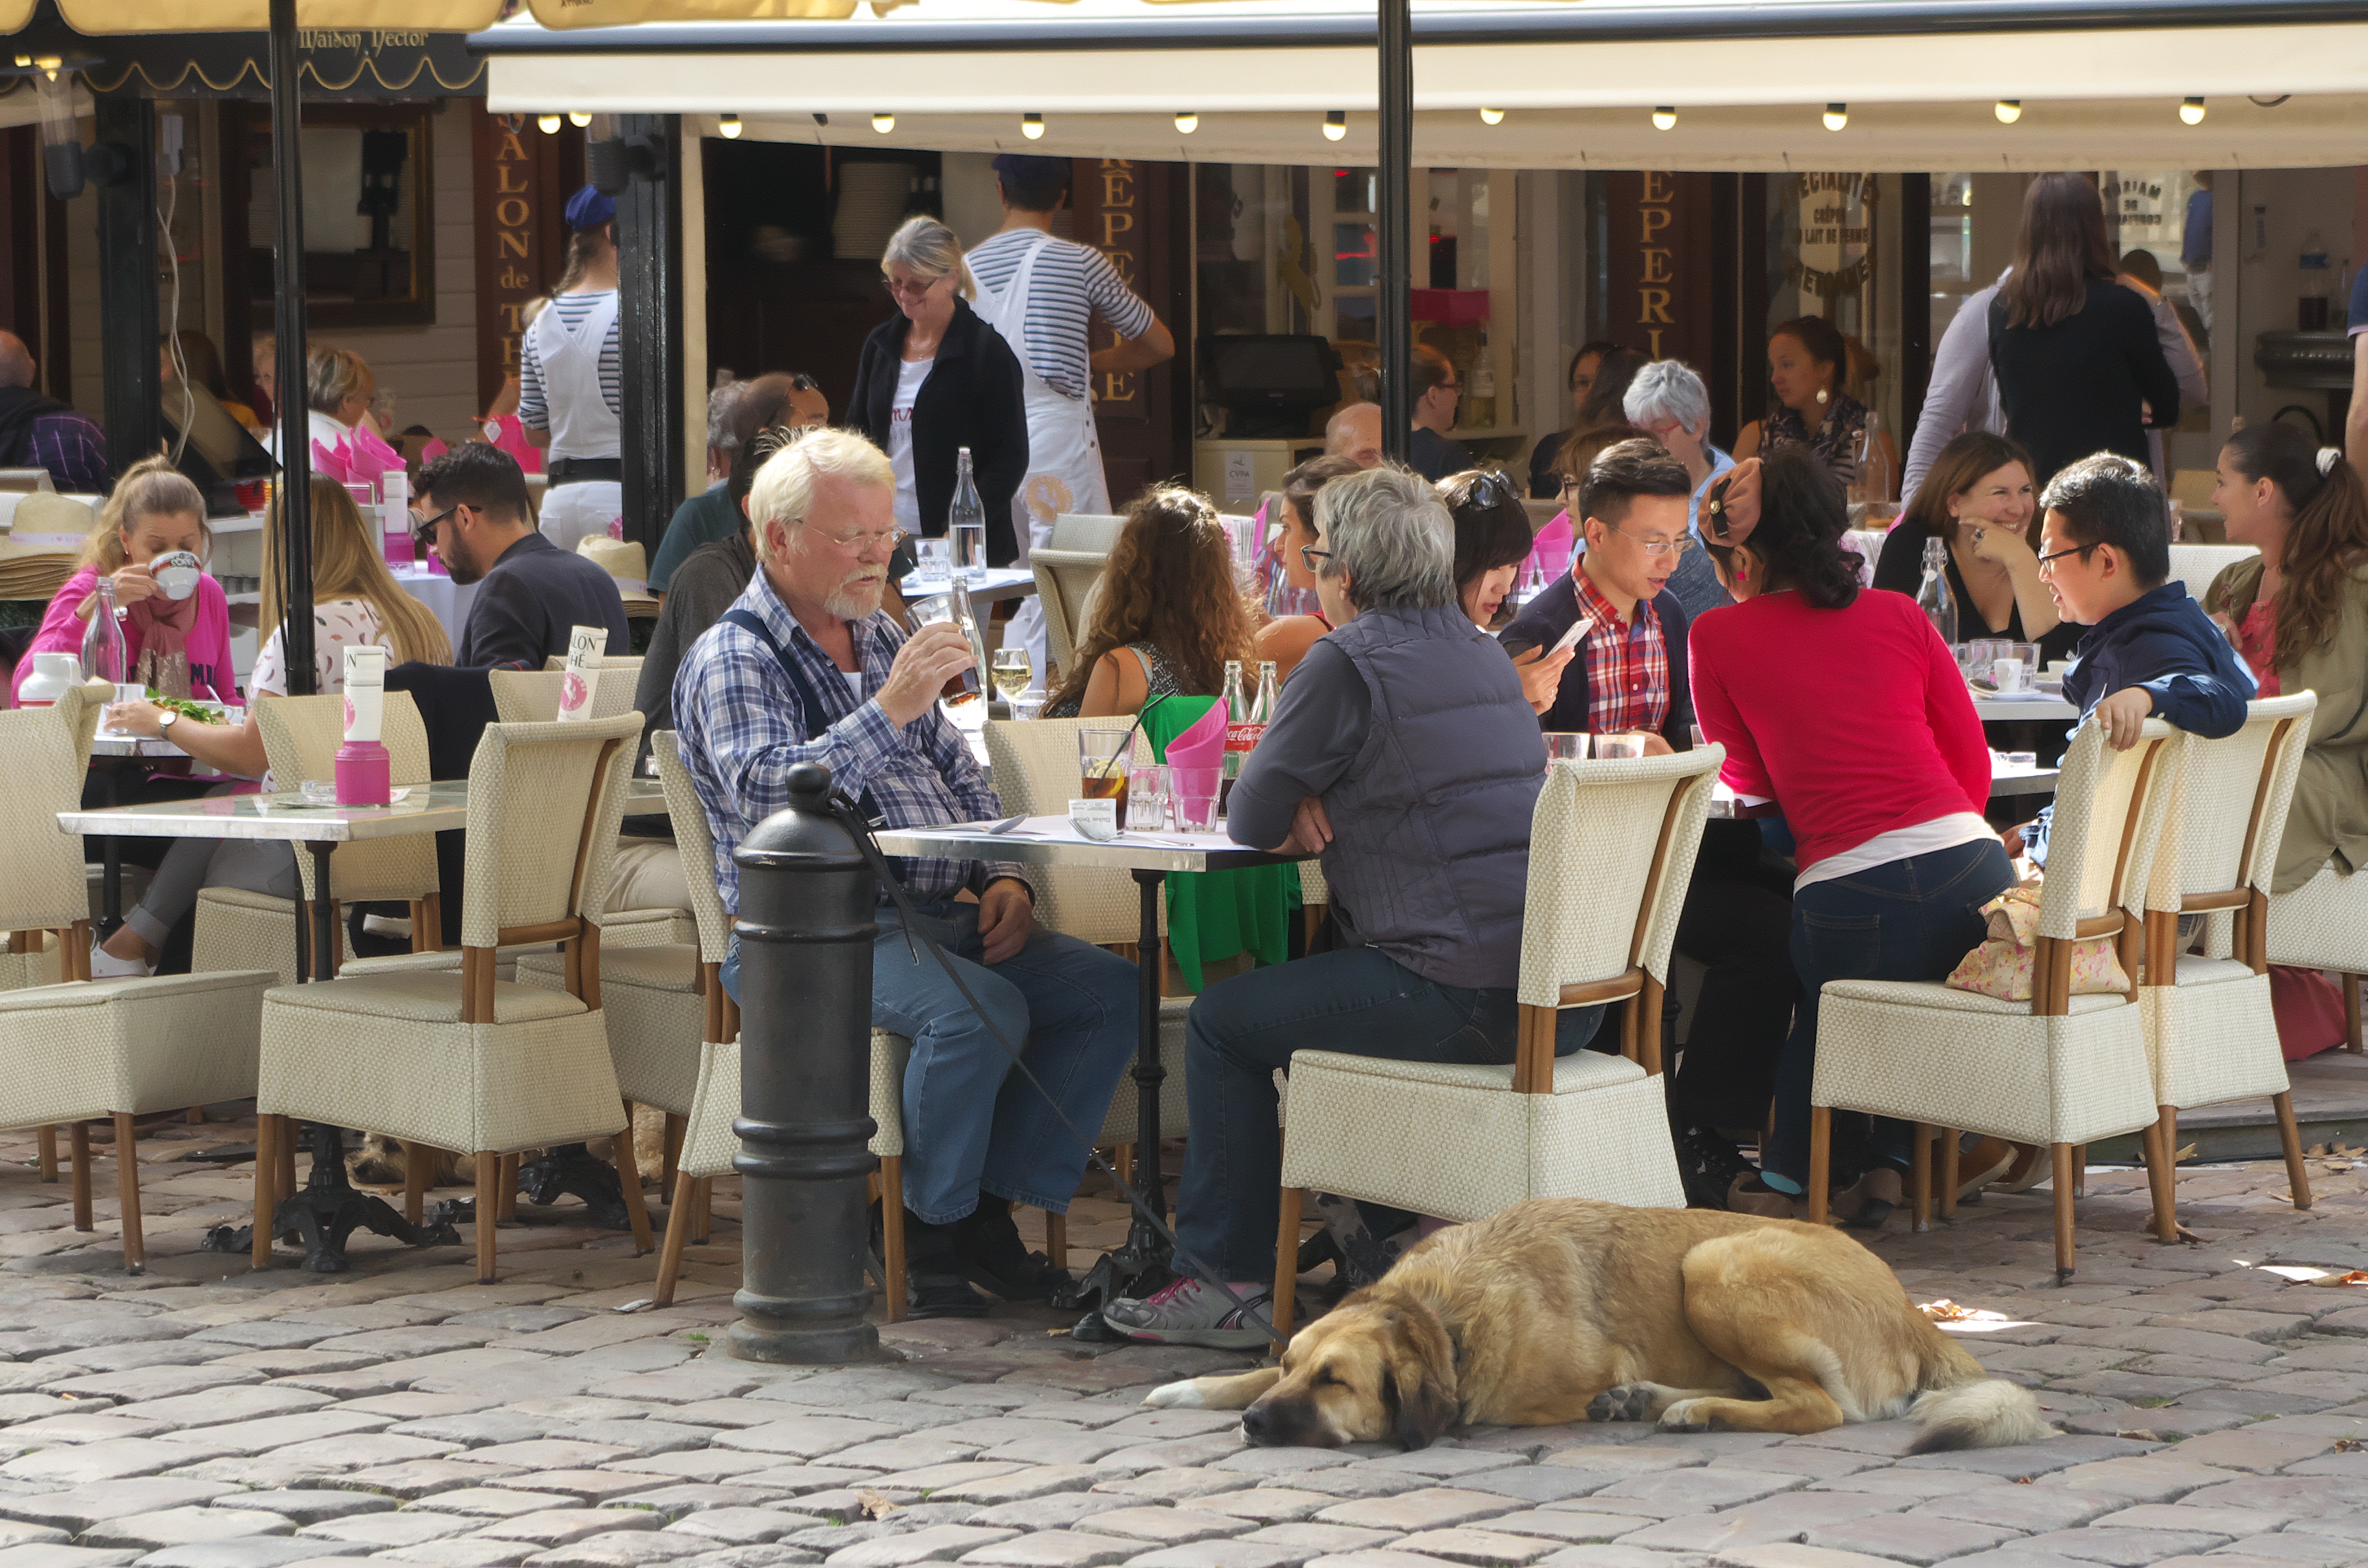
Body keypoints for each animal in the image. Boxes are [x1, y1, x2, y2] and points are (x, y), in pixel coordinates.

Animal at [1141, 1208, 2036, 1459]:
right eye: (1299, 1365)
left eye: (1336, 1382)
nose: (1252, 1427)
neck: (1440, 1314)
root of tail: (1913, 1311)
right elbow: (1247, 1367)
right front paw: (1192, 1387)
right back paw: (1653, 1401)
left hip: (1716, 1263)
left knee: (1815, 1407)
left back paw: (1690, 1410)